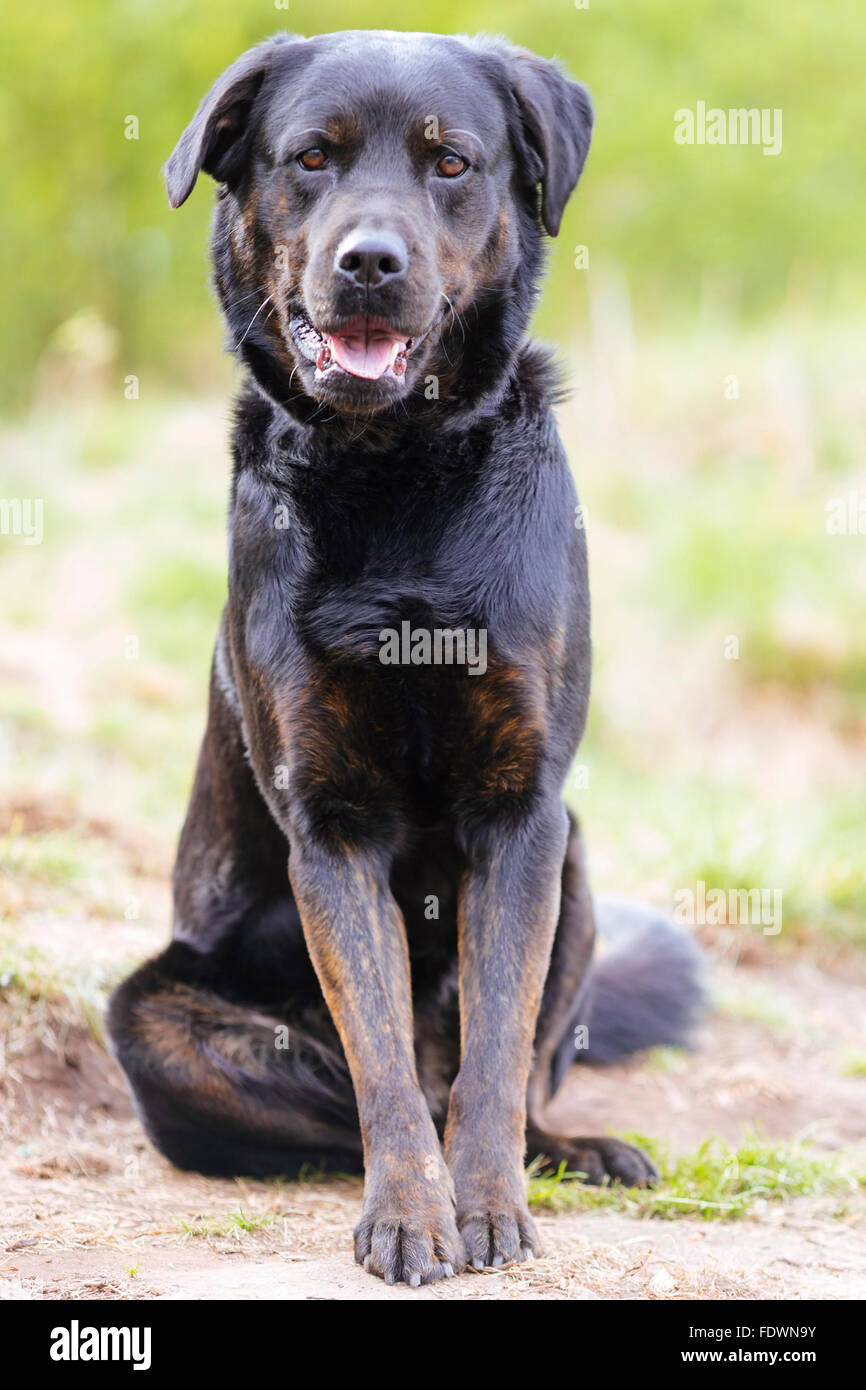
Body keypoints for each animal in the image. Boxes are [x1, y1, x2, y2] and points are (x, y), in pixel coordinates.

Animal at [108, 27, 706, 1284]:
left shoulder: (520, 813)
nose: (370, 262)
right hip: (152, 1019)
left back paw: (569, 1149)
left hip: (577, 862)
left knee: (506, 1077)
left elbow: (495, 1042)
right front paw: (411, 1215)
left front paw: (485, 1209)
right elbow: (378, 1056)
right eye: (311, 158)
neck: (394, 472)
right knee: (365, 1091)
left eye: (450, 163)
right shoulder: (332, 827)